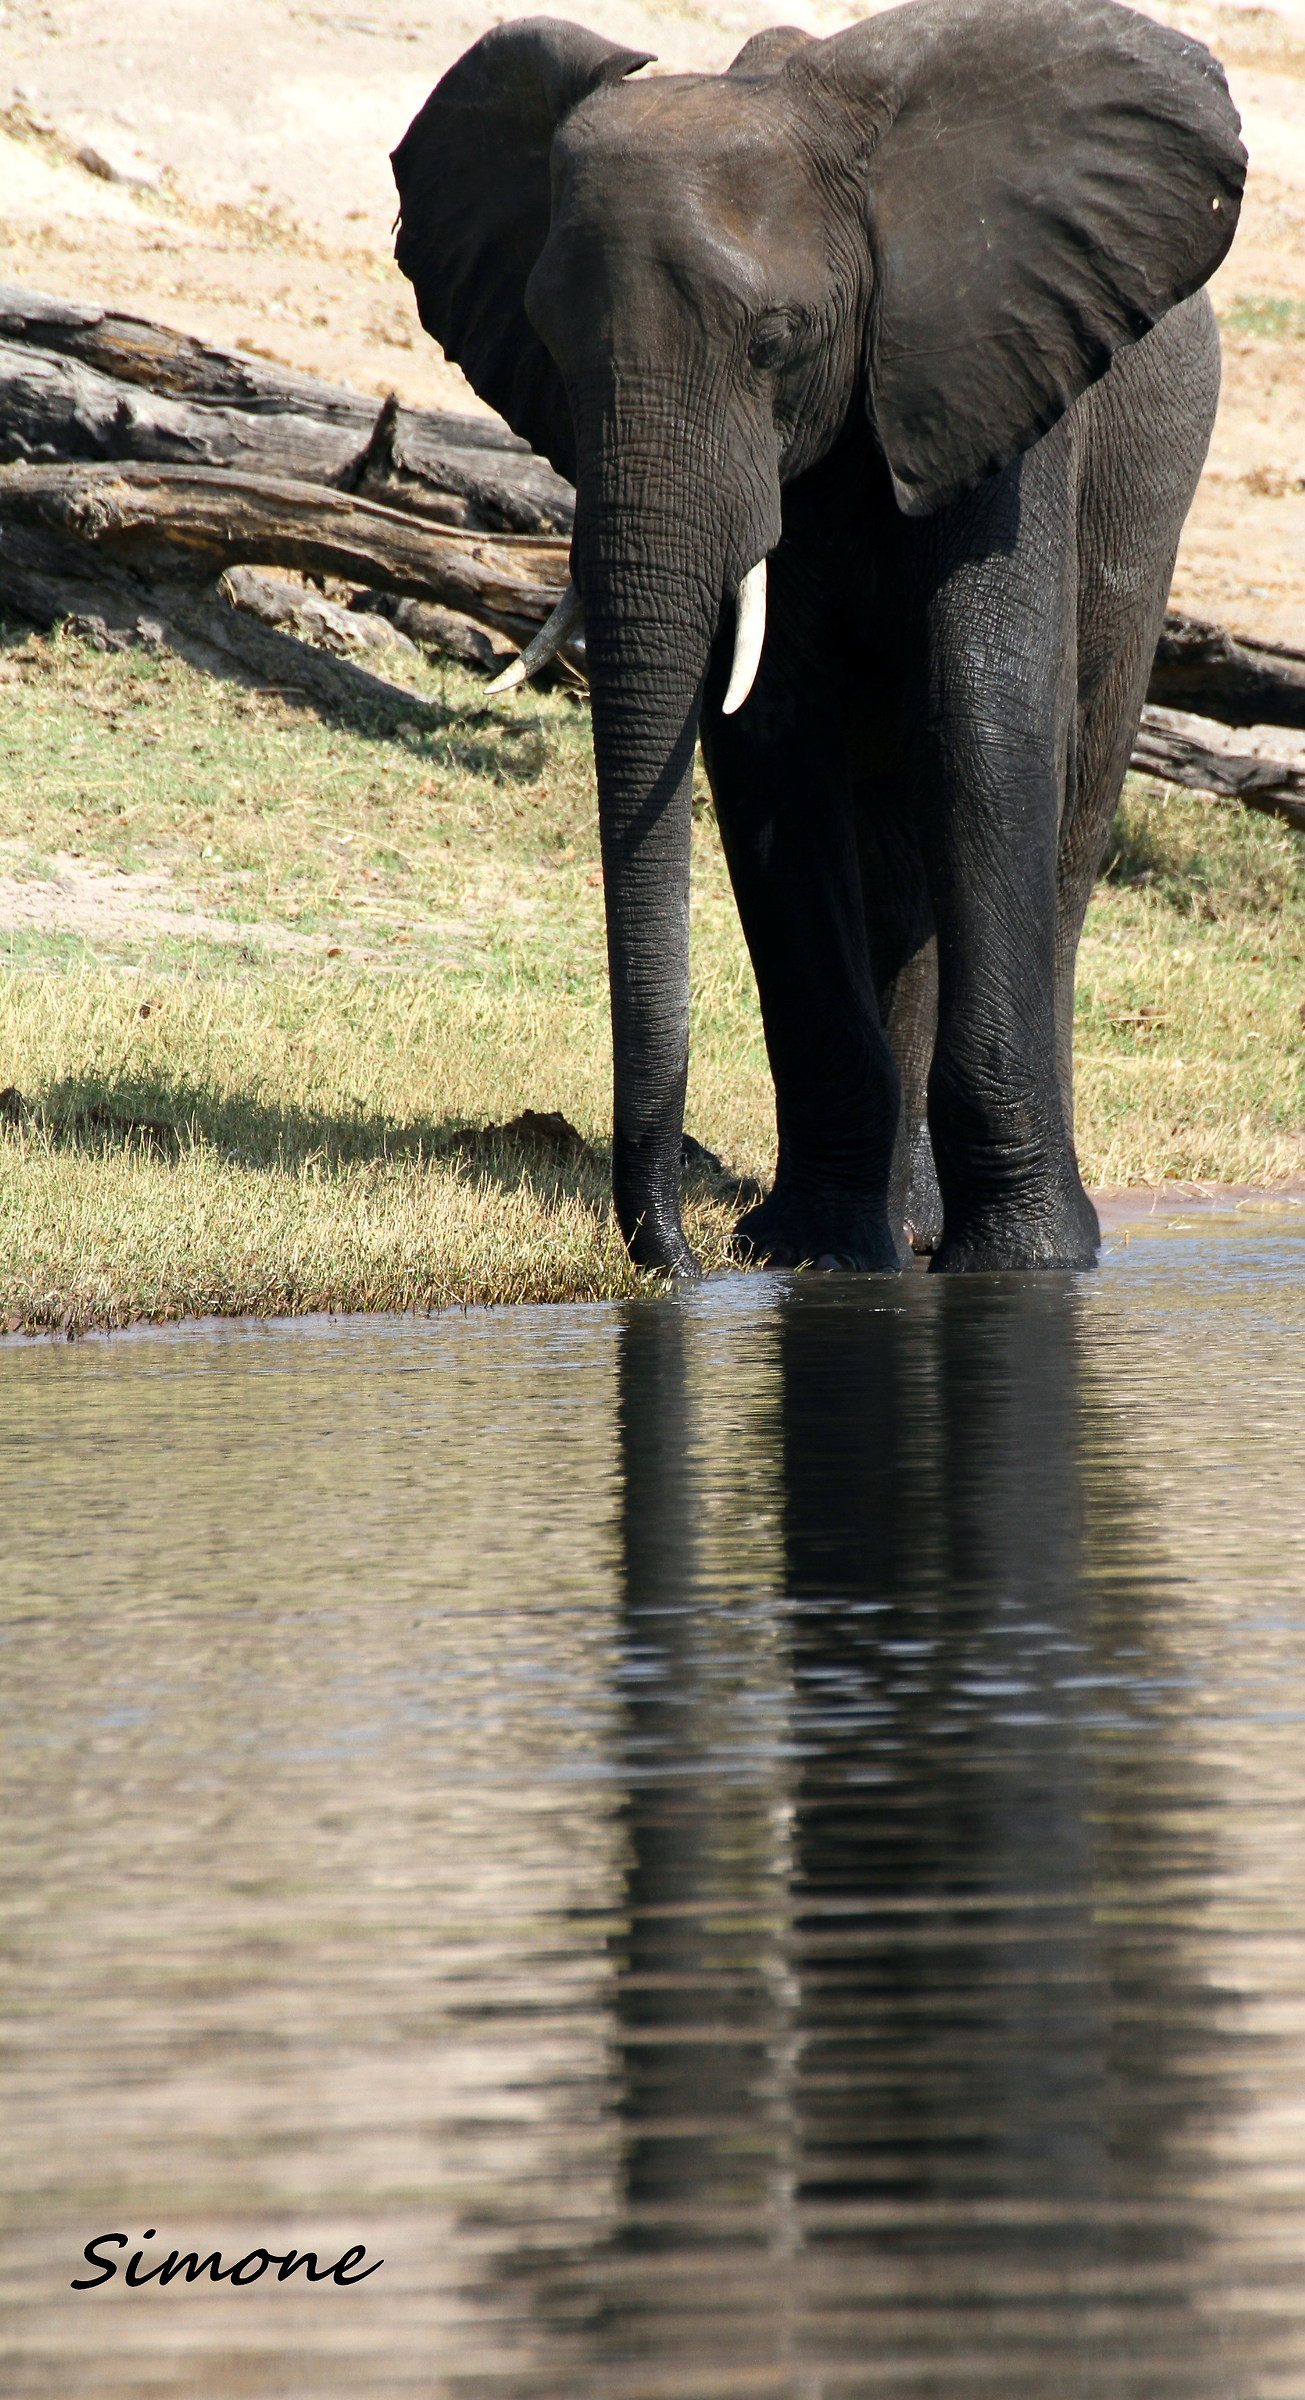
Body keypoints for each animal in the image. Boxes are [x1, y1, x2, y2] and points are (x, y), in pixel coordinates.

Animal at [391, 0, 1244, 1275]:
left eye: (774, 340)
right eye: (546, 339)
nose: (675, 1261)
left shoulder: (991, 375)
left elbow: (985, 721)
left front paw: (1026, 1267)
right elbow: (770, 747)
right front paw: (816, 1255)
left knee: (1068, 802)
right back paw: (902, 1227)